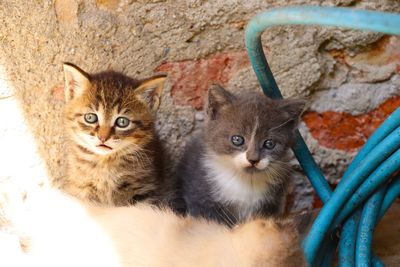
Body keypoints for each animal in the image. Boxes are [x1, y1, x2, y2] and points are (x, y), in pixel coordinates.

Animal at [60, 63, 166, 207]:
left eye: (122, 122)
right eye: (90, 118)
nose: (103, 138)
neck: (105, 163)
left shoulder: (144, 190)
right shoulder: (80, 188)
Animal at [177, 85, 304, 226]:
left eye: (269, 144)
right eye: (237, 139)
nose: (253, 159)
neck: (244, 180)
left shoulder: (273, 203)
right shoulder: (201, 197)